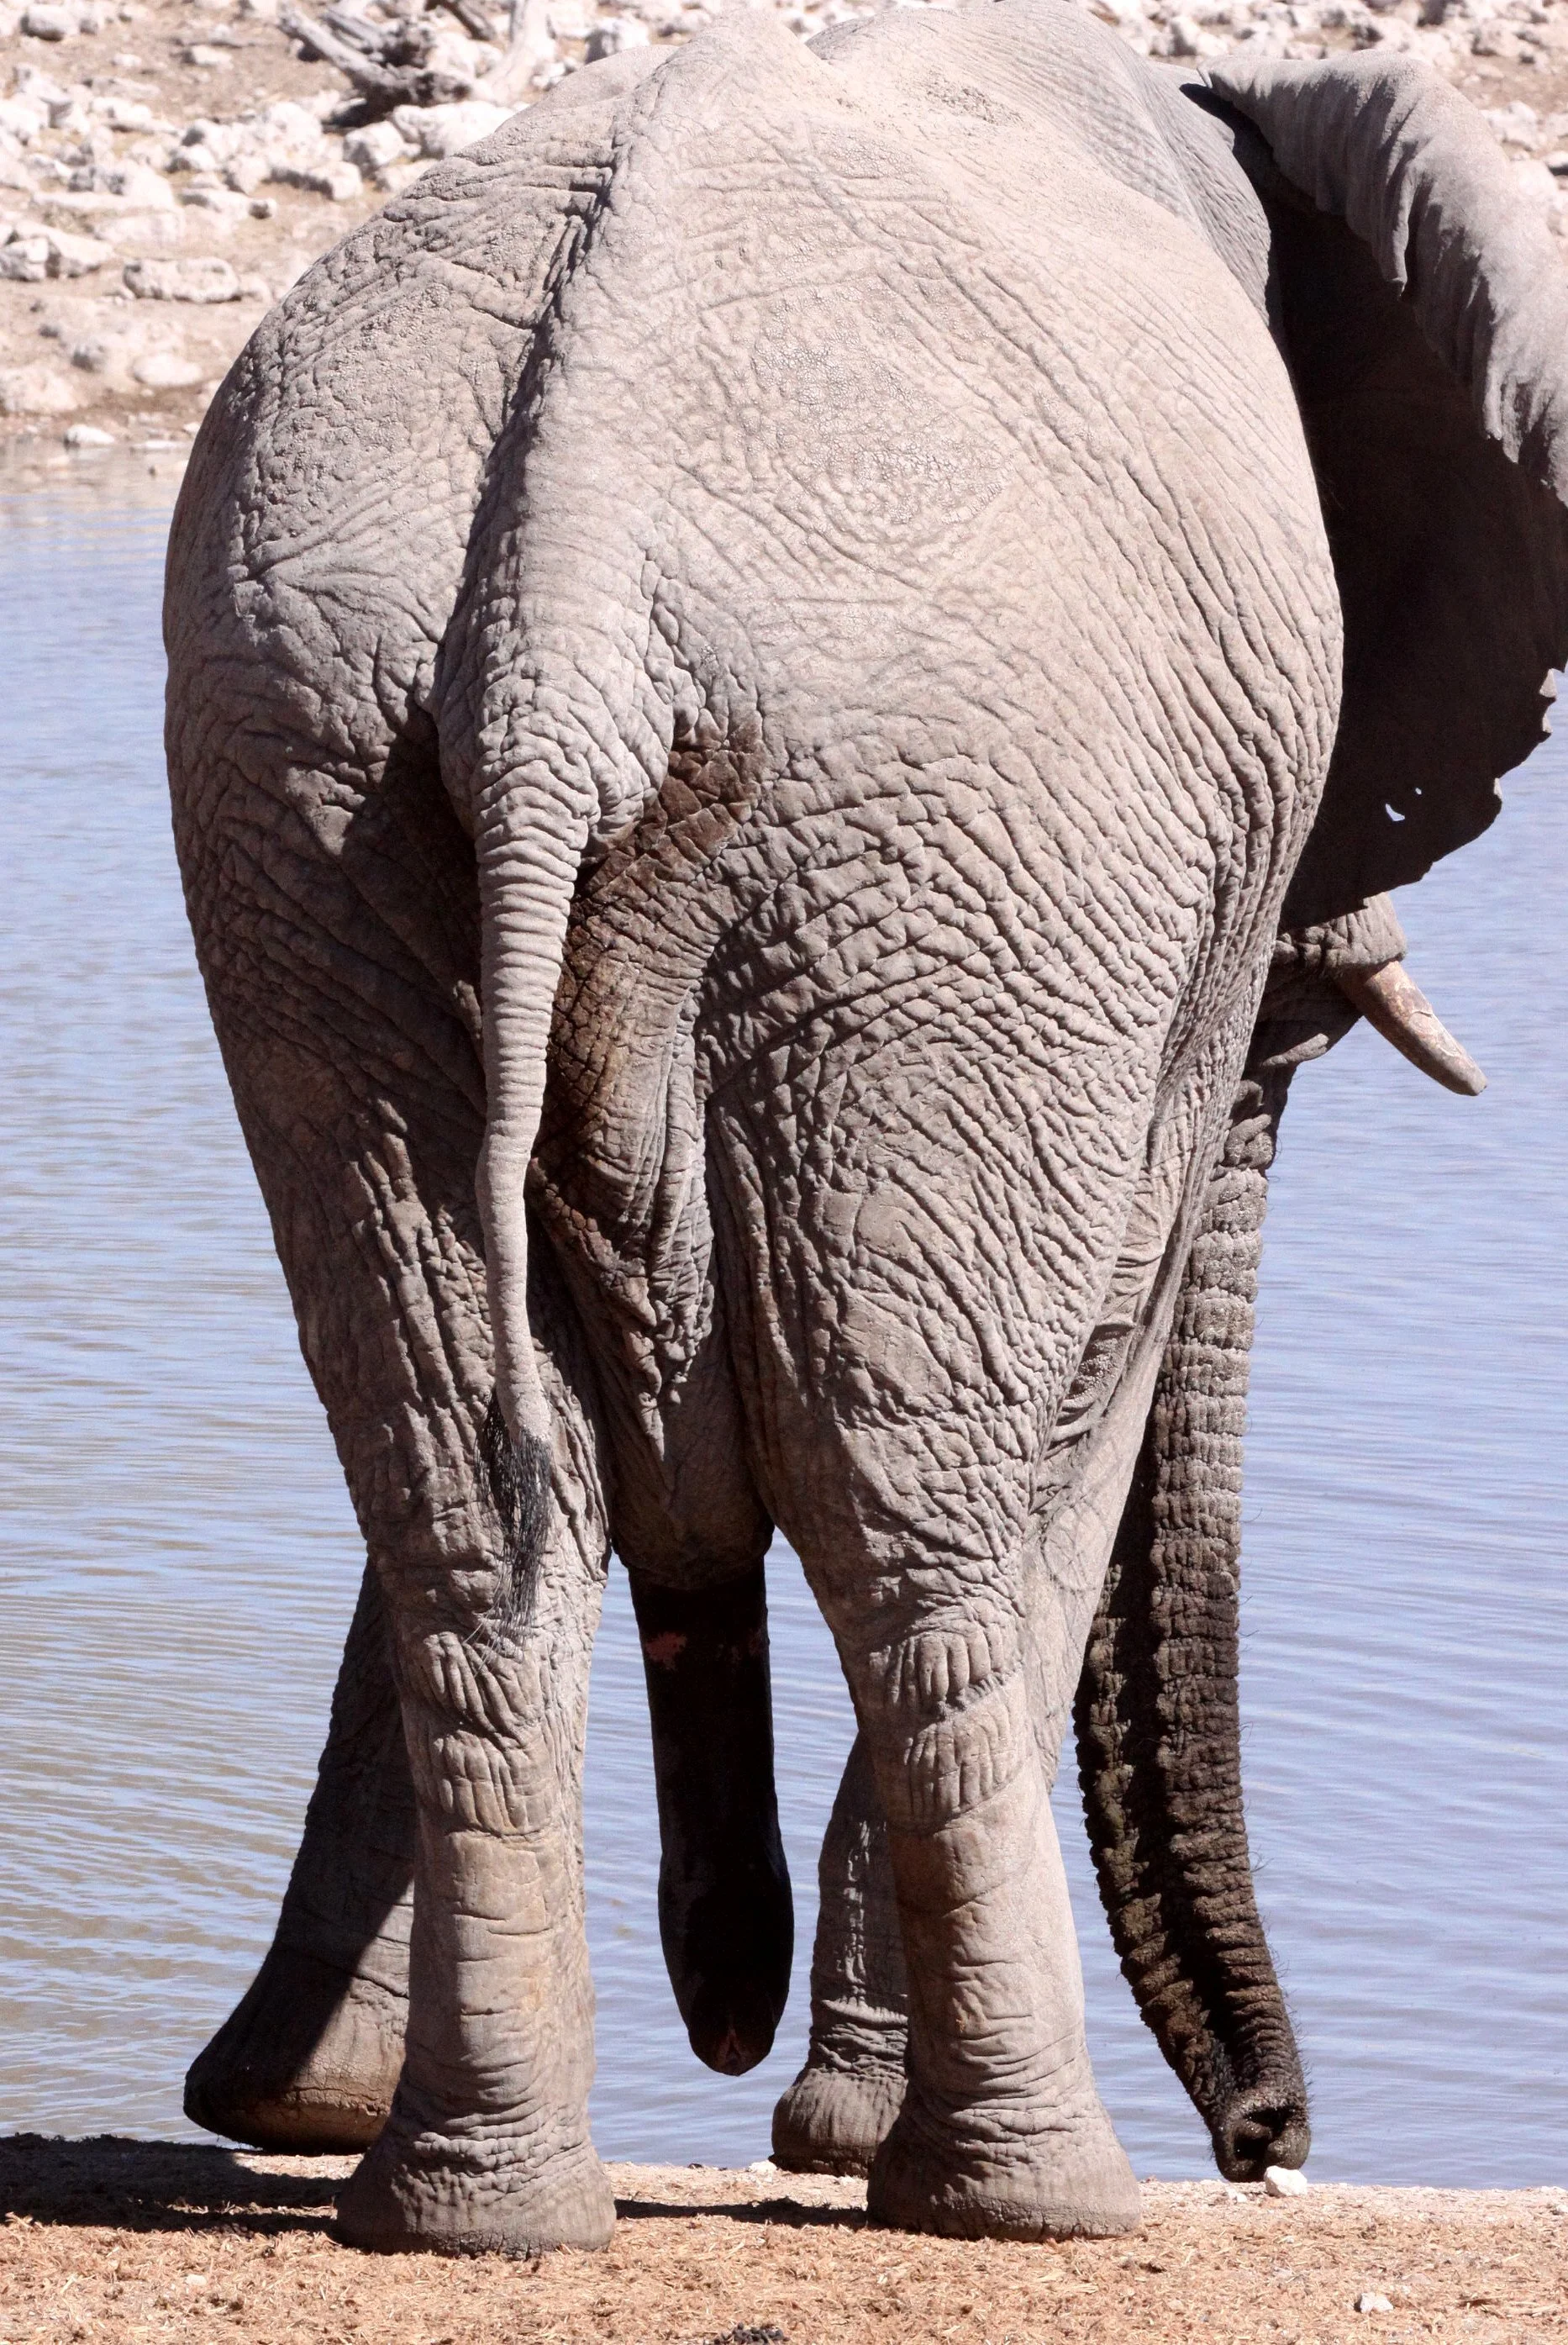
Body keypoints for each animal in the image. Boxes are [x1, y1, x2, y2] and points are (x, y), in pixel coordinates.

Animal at [162, 0, 1568, 2254]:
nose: (1271, 2141)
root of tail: (564, 609)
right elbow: (1086, 1389)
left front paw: (288, 2102)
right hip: (943, 852)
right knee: (903, 1489)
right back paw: (1027, 2201)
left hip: (313, 783)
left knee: (460, 1462)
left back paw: (470, 2214)